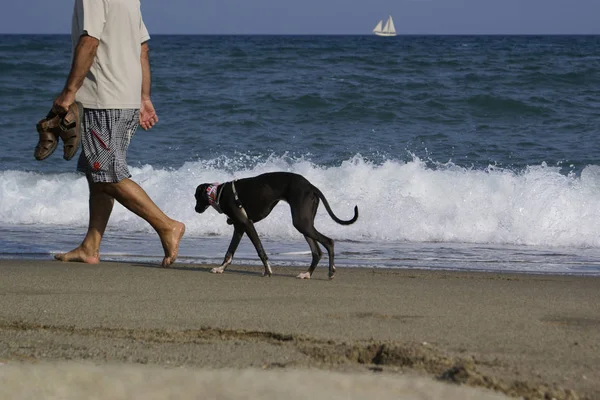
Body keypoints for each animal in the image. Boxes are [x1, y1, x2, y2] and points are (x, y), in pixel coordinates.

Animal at [195, 171, 358, 278]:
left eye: (196, 196)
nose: (196, 209)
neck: (219, 193)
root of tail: (311, 186)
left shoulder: (247, 224)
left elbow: (260, 249)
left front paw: (267, 271)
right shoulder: (239, 228)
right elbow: (230, 252)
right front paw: (221, 268)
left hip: (301, 223)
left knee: (328, 242)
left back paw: (330, 271)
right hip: (305, 223)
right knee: (317, 252)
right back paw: (307, 273)